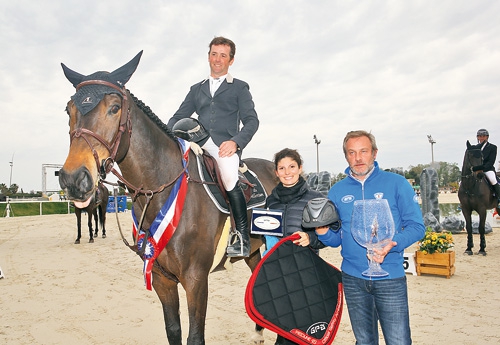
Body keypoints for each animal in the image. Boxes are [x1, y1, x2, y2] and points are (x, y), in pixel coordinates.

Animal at [57, 51, 280, 344]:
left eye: (114, 108)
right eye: (68, 109)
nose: (73, 179)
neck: (161, 190)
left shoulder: (196, 280)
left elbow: (195, 336)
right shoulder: (162, 279)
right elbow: (173, 330)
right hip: (254, 251)